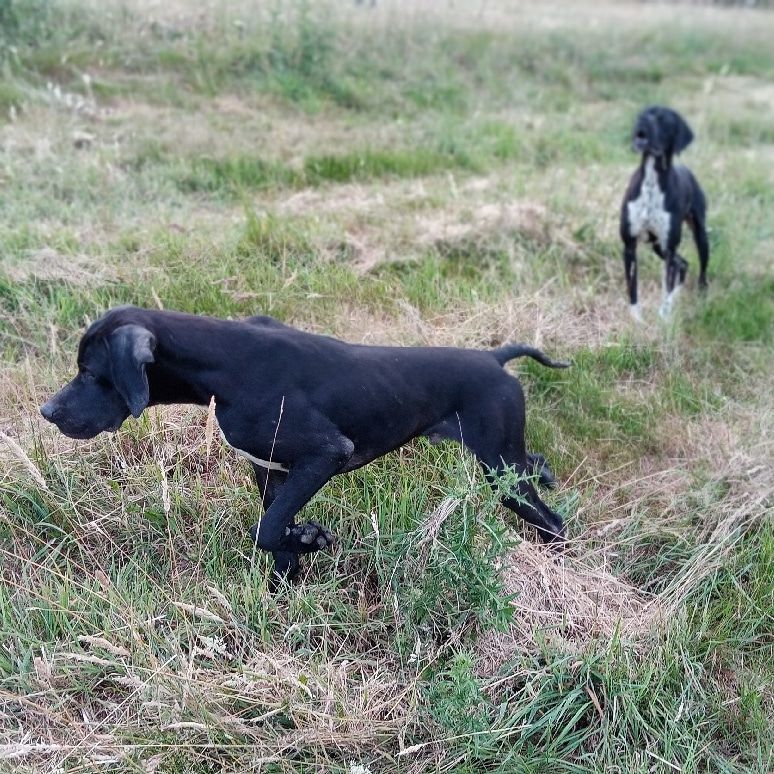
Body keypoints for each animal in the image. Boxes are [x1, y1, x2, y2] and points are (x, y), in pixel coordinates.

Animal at [41, 306, 568, 584]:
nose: (47, 412)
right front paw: (287, 583)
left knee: (553, 521)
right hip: (506, 457)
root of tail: (495, 359)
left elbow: (267, 529)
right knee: (535, 467)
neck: (227, 365)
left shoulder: (325, 453)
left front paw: (309, 539)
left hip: (500, 468)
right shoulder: (271, 470)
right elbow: (274, 532)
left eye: (90, 373)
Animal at [620, 107, 712, 322]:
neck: (651, 179)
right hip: (658, 246)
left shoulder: (670, 248)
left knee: (699, 269)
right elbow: (632, 288)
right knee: (683, 264)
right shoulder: (629, 247)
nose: (642, 120)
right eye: (644, 112)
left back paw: (700, 294)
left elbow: (666, 288)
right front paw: (637, 320)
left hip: (699, 236)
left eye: (664, 119)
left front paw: (664, 318)